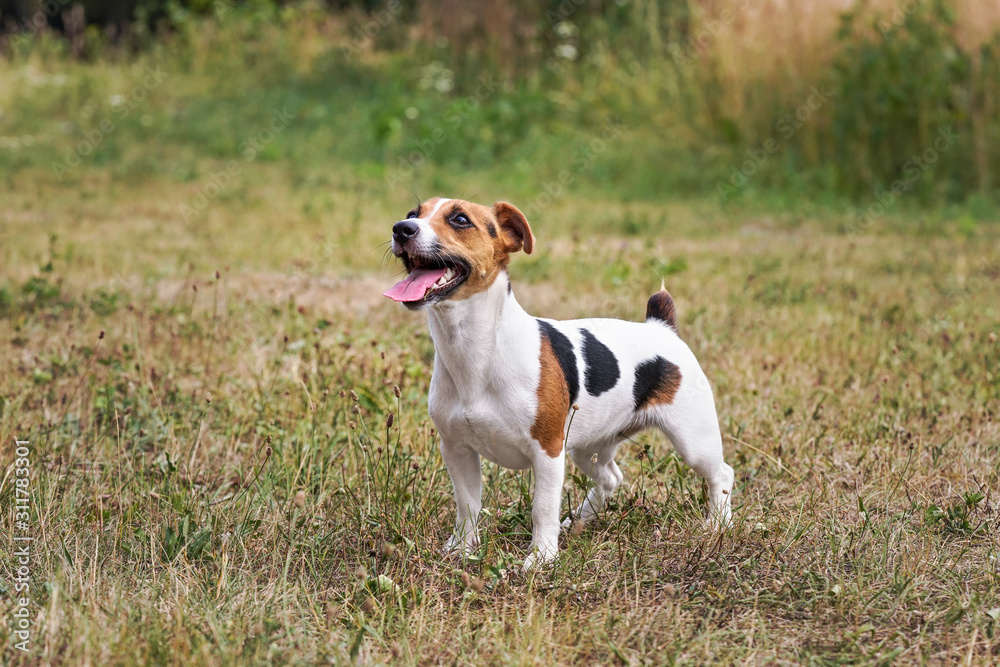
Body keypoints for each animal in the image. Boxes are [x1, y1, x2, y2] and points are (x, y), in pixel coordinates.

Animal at [382, 197, 736, 568]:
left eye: (460, 220)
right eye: (412, 214)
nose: (401, 229)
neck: (478, 348)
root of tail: (661, 326)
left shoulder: (548, 451)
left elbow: (542, 508)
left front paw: (541, 558)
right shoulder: (456, 449)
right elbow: (467, 505)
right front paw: (463, 548)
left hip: (692, 440)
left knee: (722, 474)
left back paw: (717, 525)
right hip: (586, 447)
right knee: (612, 478)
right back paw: (580, 519)